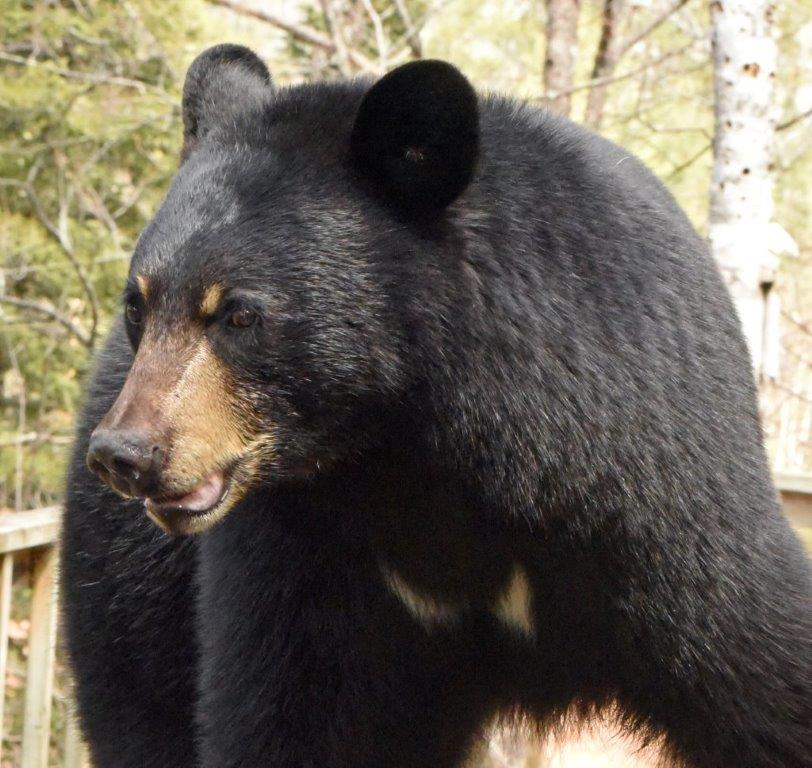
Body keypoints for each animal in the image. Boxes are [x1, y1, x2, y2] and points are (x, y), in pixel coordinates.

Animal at [61, 44, 811, 768]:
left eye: (241, 315)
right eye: (139, 305)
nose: (125, 454)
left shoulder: (654, 502)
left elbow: (759, 663)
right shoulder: (304, 557)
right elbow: (293, 714)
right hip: (130, 581)